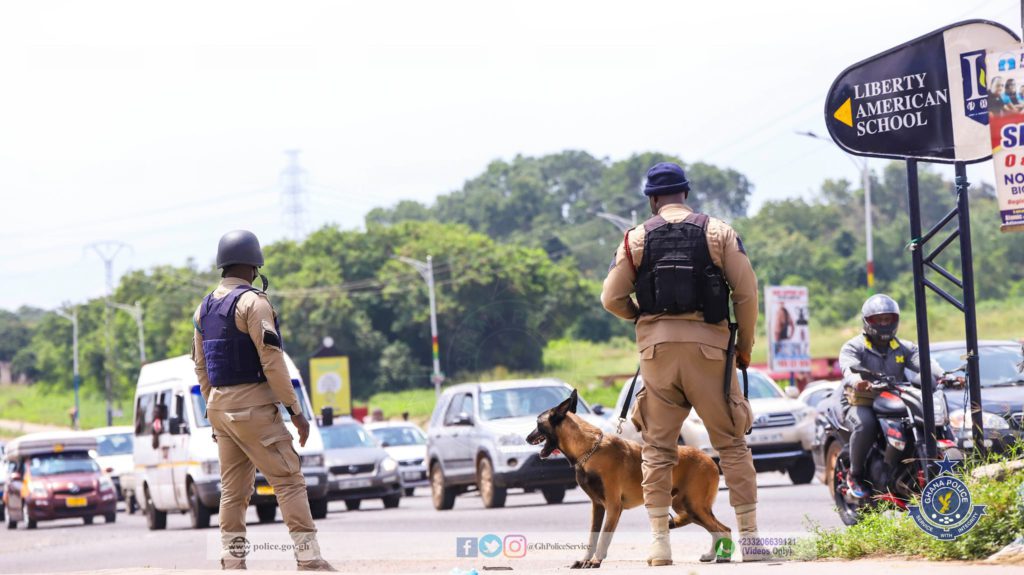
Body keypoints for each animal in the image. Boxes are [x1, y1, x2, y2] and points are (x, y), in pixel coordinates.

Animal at [528, 386, 729, 564]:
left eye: (538, 423)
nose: (528, 438)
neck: (589, 451)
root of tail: (710, 460)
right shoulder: (597, 506)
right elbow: (593, 536)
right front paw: (585, 560)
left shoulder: (613, 506)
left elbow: (604, 536)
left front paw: (595, 561)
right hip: (685, 505)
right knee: (718, 529)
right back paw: (712, 555)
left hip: (693, 506)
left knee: (722, 530)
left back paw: (722, 557)